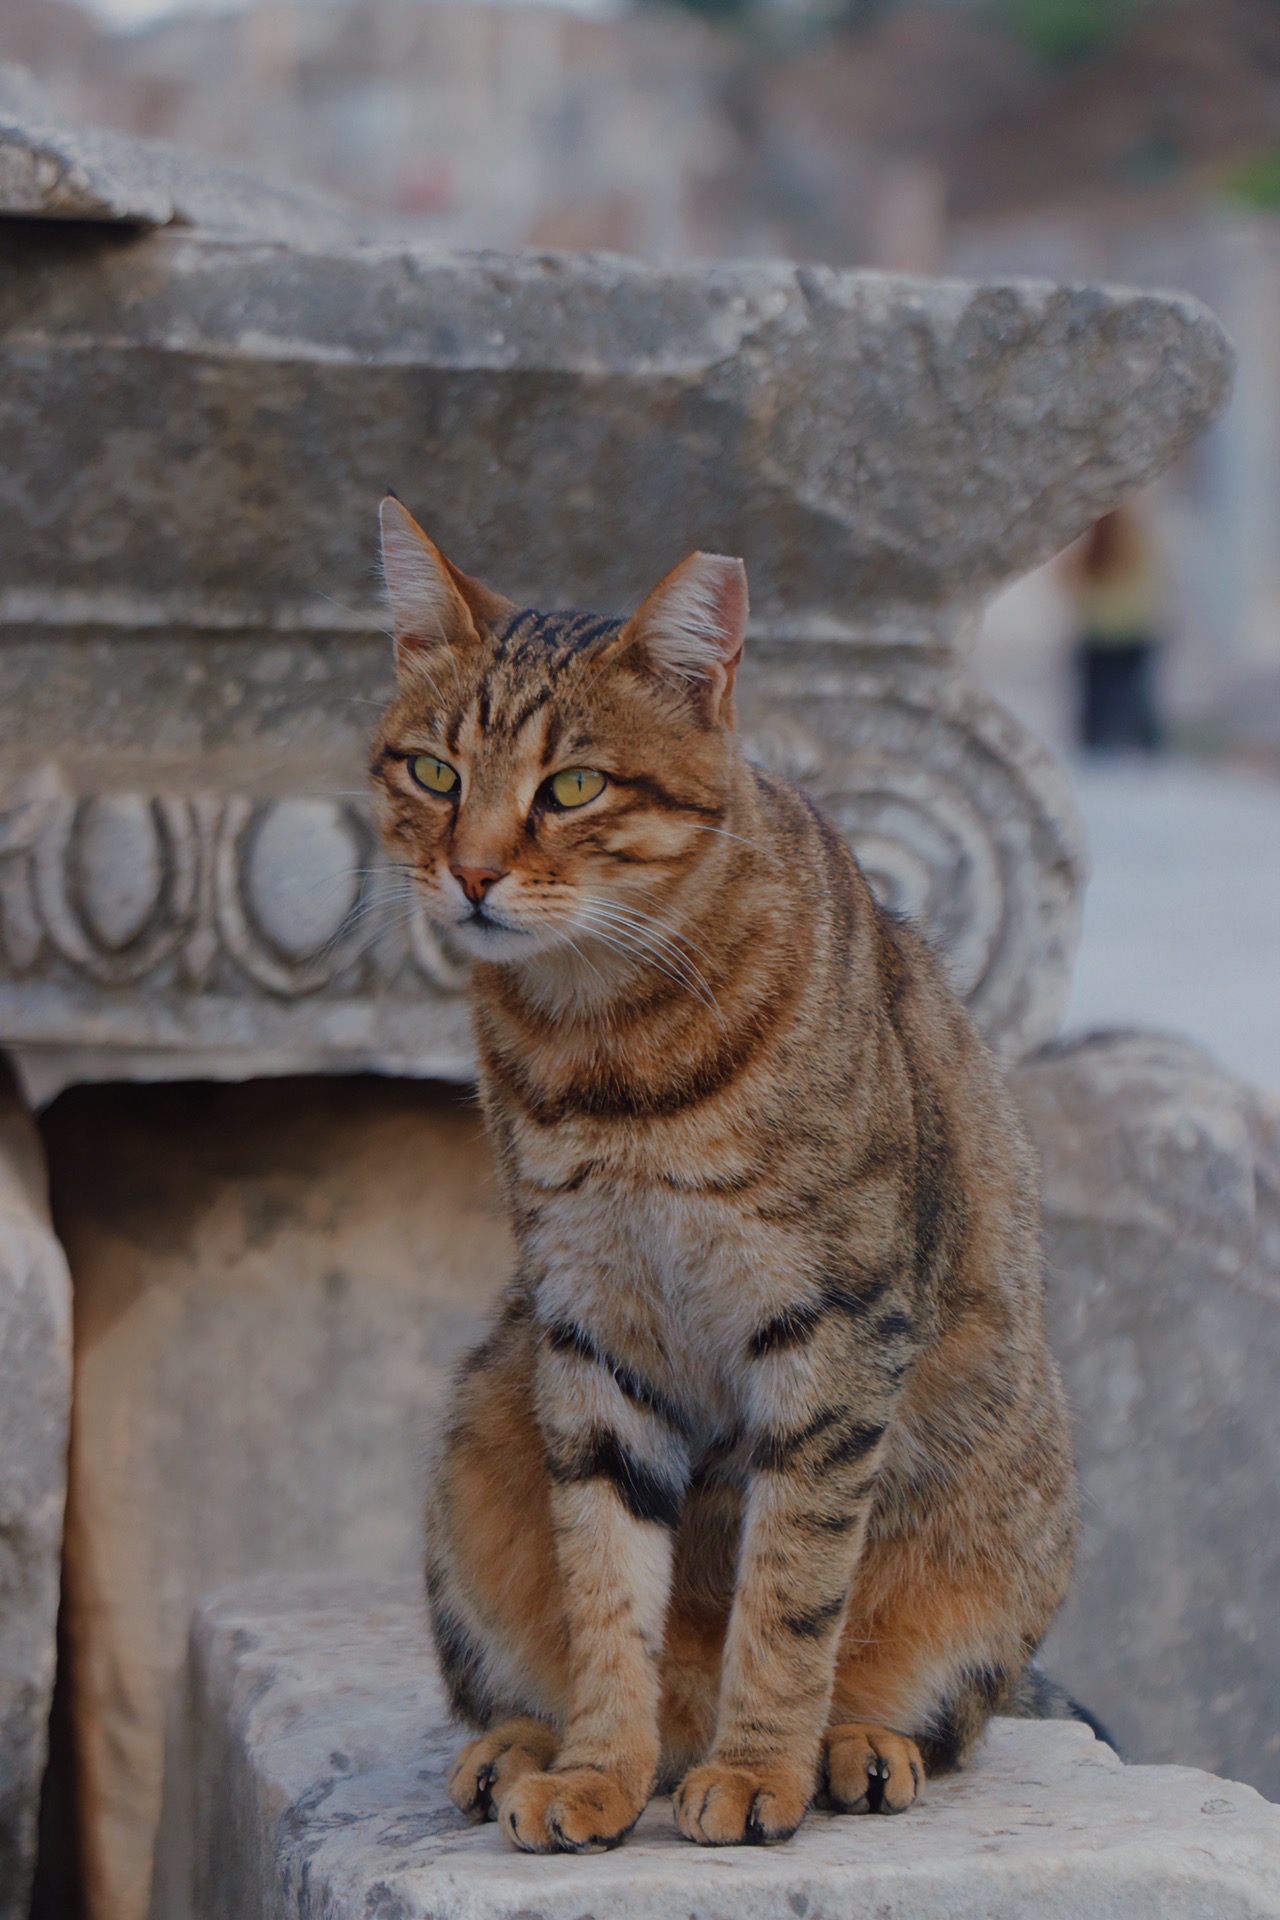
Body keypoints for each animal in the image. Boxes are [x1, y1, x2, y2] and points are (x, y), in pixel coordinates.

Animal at [370, 503, 1082, 1850]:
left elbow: (792, 1590)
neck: (605, 1049)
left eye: (572, 786)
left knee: (930, 1712)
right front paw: (596, 1770)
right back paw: (535, 1746)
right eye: (434, 774)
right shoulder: (589, 1327)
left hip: (1006, 1503)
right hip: (480, 1424)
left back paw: (844, 1748)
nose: (472, 874)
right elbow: (604, 1583)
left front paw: (760, 1771)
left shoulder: (831, 1326)